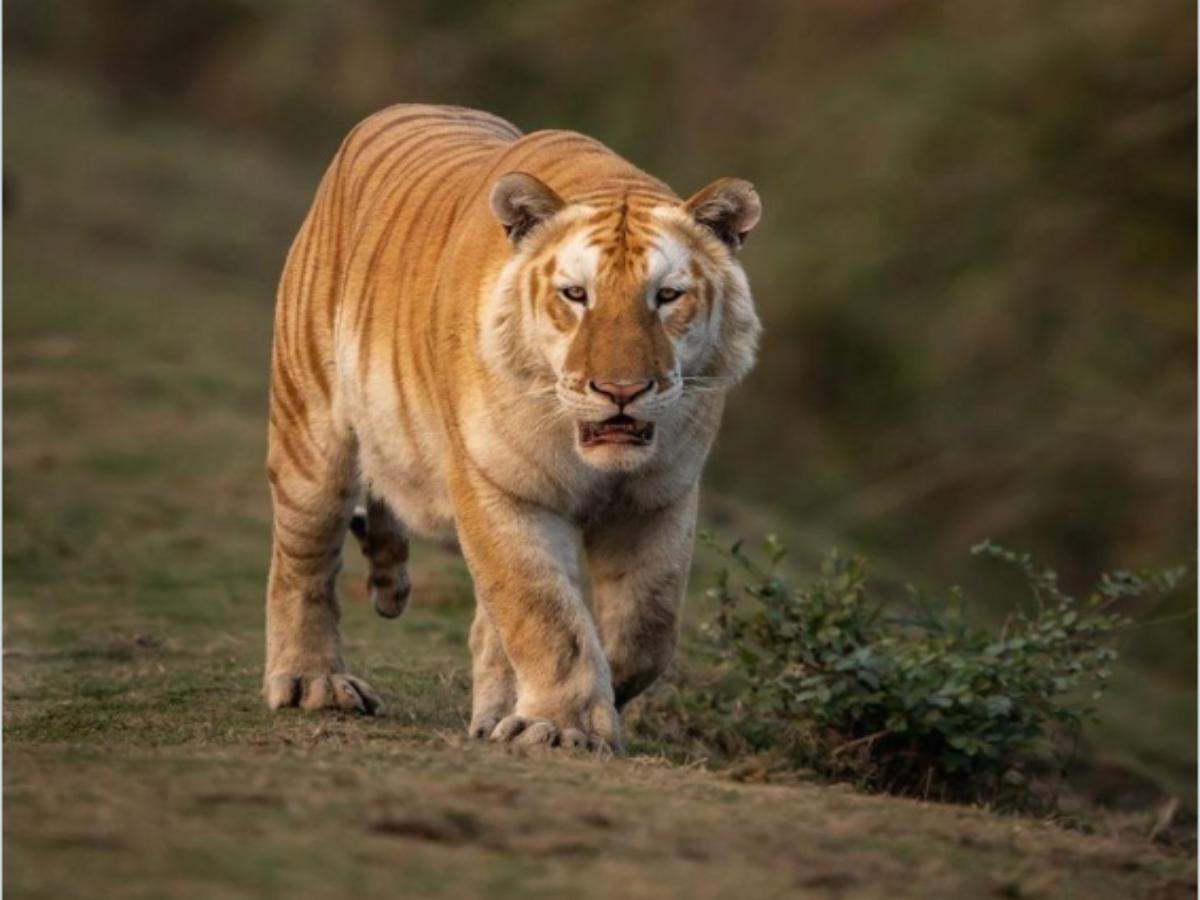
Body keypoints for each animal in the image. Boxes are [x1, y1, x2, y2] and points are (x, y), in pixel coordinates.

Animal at [267, 105, 763, 753]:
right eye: (576, 295)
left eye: (667, 296)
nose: (621, 390)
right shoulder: (499, 486)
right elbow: (545, 615)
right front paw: (561, 726)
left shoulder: (661, 496)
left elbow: (645, 629)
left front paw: (557, 711)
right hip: (311, 432)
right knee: (303, 561)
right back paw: (314, 683)